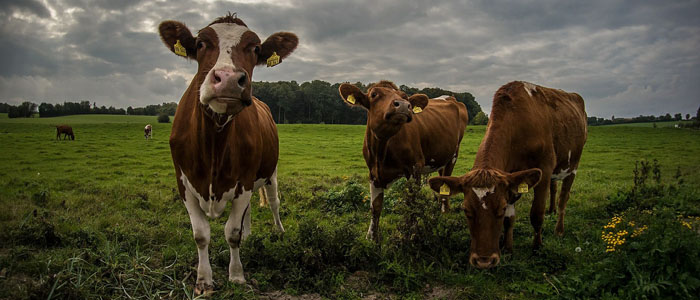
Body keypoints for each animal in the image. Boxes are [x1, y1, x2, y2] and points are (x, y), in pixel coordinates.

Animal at [336, 79, 468, 241]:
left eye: (405, 97)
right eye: (374, 94)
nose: (404, 105)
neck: (382, 150)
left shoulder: (414, 168)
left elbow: (412, 203)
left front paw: (413, 233)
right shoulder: (373, 173)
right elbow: (375, 207)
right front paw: (372, 237)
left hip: (453, 155)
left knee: (446, 181)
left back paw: (444, 211)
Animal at [430, 81, 588, 268]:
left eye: (501, 208)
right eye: (466, 210)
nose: (483, 261)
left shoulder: (543, 170)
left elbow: (536, 214)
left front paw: (537, 248)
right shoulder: (512, 179)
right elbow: (509, 219)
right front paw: (507, 249)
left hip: (573, 165)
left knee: (564, 198)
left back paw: (559, 230)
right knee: (554, 187)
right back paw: (552, 210)